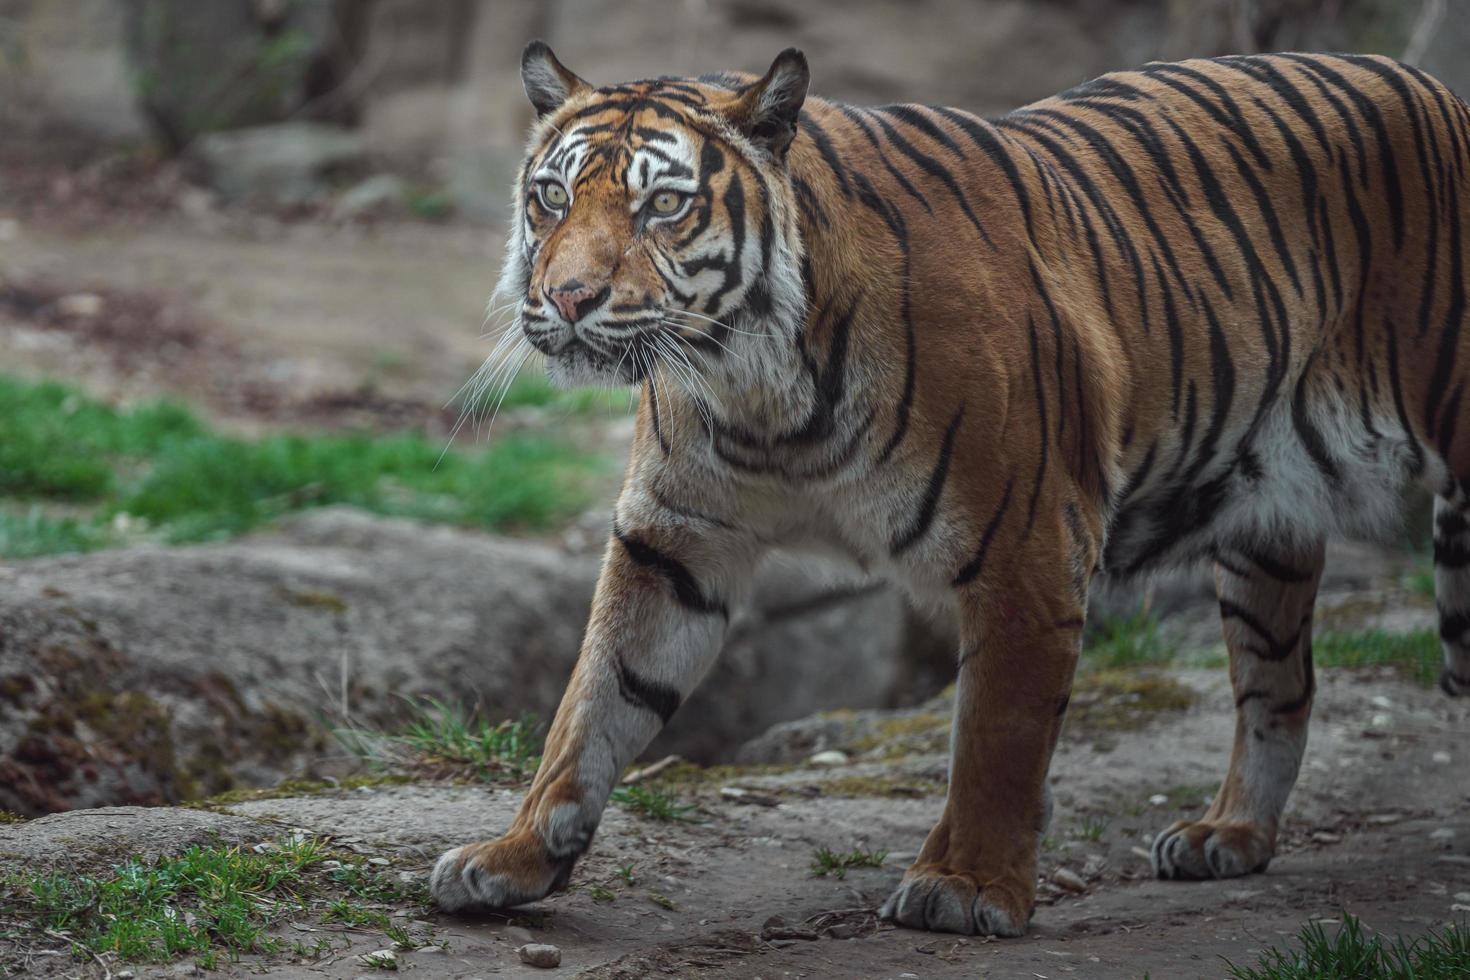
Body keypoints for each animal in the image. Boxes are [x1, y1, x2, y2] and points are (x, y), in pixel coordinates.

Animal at [429, 42, 1470, 940]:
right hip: (1267, 531)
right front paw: (517, 855)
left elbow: (998, 735)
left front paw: (966, 885)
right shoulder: (675, 541)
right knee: (1280, 689)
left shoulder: (1031, 543)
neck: (756, 391)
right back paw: (1230, 835)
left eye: (663, 207)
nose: (567, 299)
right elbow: (593, 704)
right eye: (551, 196)